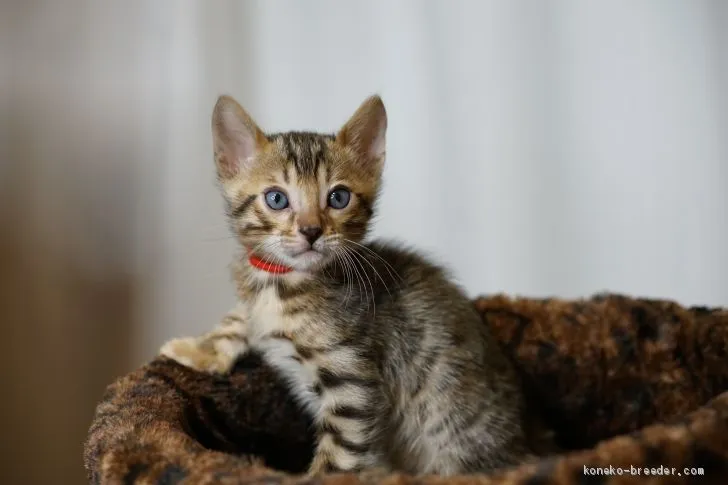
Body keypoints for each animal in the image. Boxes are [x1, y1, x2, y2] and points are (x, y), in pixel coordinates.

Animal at [159, 93, 532, 472]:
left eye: (338, 198)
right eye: (276, 198)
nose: (311, 231)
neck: (282, 283)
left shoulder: (352, 383)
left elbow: (338, 457)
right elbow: (237, 317)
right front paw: (200, 349)